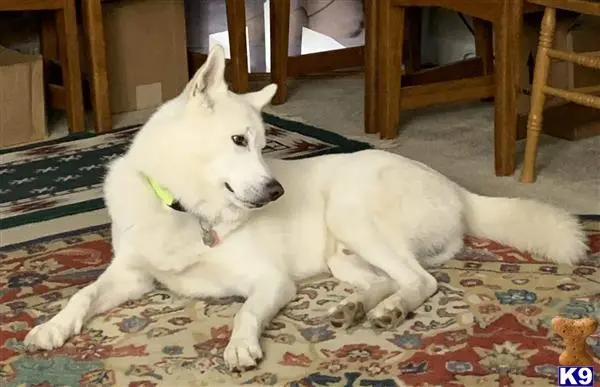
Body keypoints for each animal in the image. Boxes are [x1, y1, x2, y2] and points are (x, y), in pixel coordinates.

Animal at [22, 44, 584, 372]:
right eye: (238, 140)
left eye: (265, 144)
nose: (276, 192)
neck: (185, 210)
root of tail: (455, 187)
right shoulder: (132, 276)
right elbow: (82, 296)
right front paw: (52, 327)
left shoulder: (271, 282)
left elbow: (245, 310)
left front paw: (240, 346)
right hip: (343, 254)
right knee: (389, 279)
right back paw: (360, 306)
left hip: (352, 213)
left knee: (421, 281)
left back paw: (390, 310)